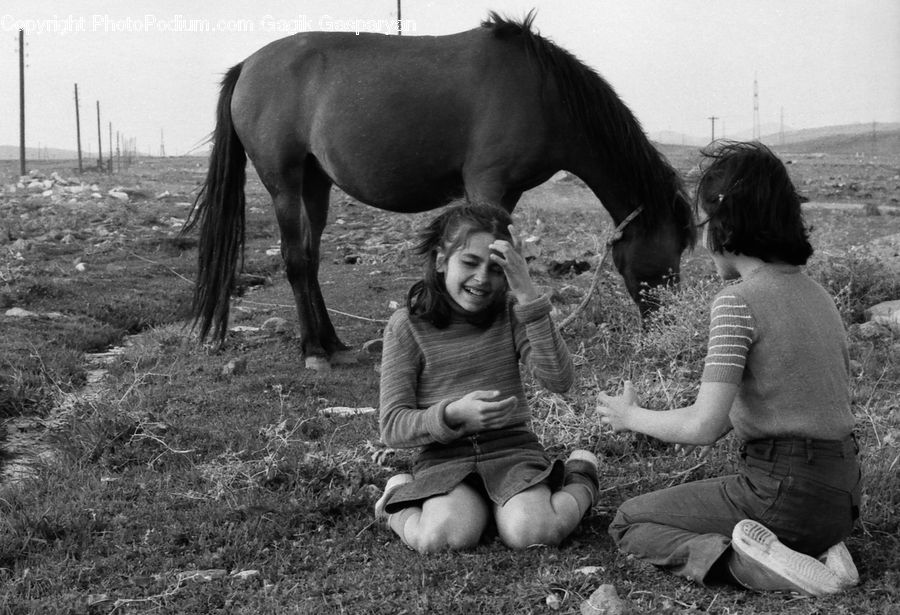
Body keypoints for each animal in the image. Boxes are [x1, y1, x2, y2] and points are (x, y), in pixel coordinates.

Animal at [185, 12, 696, 370]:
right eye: (667, 258)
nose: (667, 329)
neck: (544, 93)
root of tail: (247, 66)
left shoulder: (506, 193)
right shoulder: (487, 184)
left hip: (316, 181)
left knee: (309, 260)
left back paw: (333, 344)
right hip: (285, 183)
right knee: (295, 260)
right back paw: (313, 350)